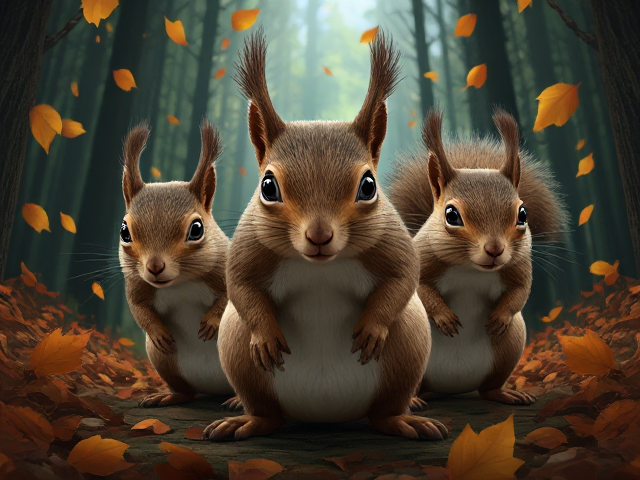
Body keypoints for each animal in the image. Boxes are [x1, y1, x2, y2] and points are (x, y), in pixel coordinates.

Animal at [118, 119, 234, 407]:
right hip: (164, 362)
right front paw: (158, 332)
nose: (155, 268)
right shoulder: (137, 283)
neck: (181, 283)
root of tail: (214, 389)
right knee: (186, 391)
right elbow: (139, 309)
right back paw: (167, 396)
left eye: (196, 229)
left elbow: (229, 298)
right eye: (124, 231)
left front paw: (212, 322)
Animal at [202, 29, 448, 442]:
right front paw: (266, 335)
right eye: (268, 186)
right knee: (266, 412)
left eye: (369, 185)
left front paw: (372, 327)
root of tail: (324, 414)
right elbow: (239, 284)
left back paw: (406, 419)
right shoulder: (249, 246)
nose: (319, 235)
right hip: (237, 352)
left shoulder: (392, 242)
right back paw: (245, 419)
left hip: (409, 347)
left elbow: (403, 277)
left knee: (384, 411)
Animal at [388, 108, 567, 405]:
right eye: (451, 215)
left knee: (489, 387)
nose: (495, 250)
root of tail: (453, 387)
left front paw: (500, 317)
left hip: (510, 346)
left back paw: (505, 394)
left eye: (523, 214)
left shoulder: (518, 266)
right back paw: (412, 400)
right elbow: (421, 289)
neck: (470, 269)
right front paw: (444, 317)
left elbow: (520, 291)